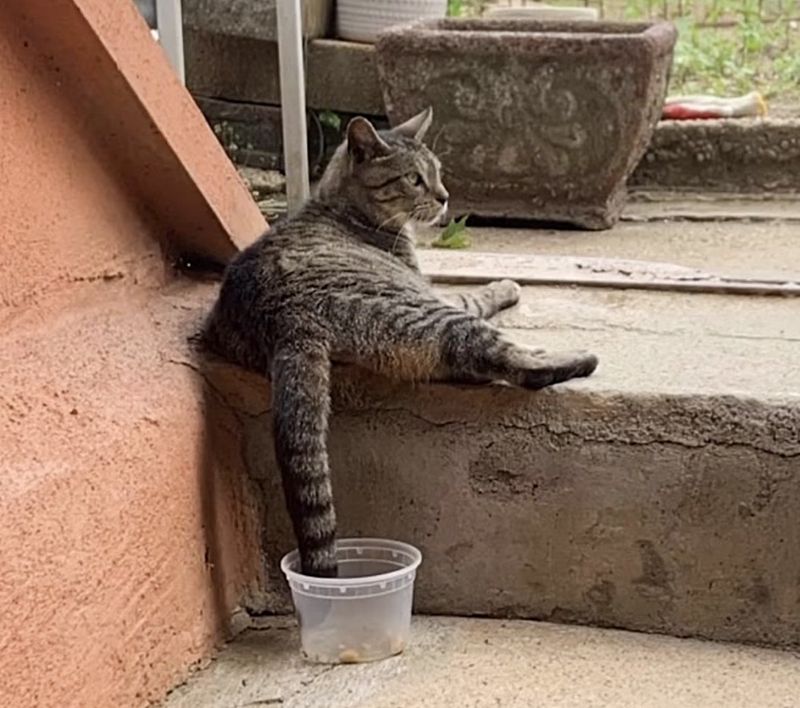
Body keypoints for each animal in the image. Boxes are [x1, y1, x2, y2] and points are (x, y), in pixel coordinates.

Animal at [203, 109, 596, 576]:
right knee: (503, 360)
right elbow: (479, 294)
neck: (341, 205)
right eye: (414, 179)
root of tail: (284, 315)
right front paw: (505, 284)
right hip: (425, 311)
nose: (445, 197)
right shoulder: (437, 291)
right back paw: (576, 357)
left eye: (438, 173)